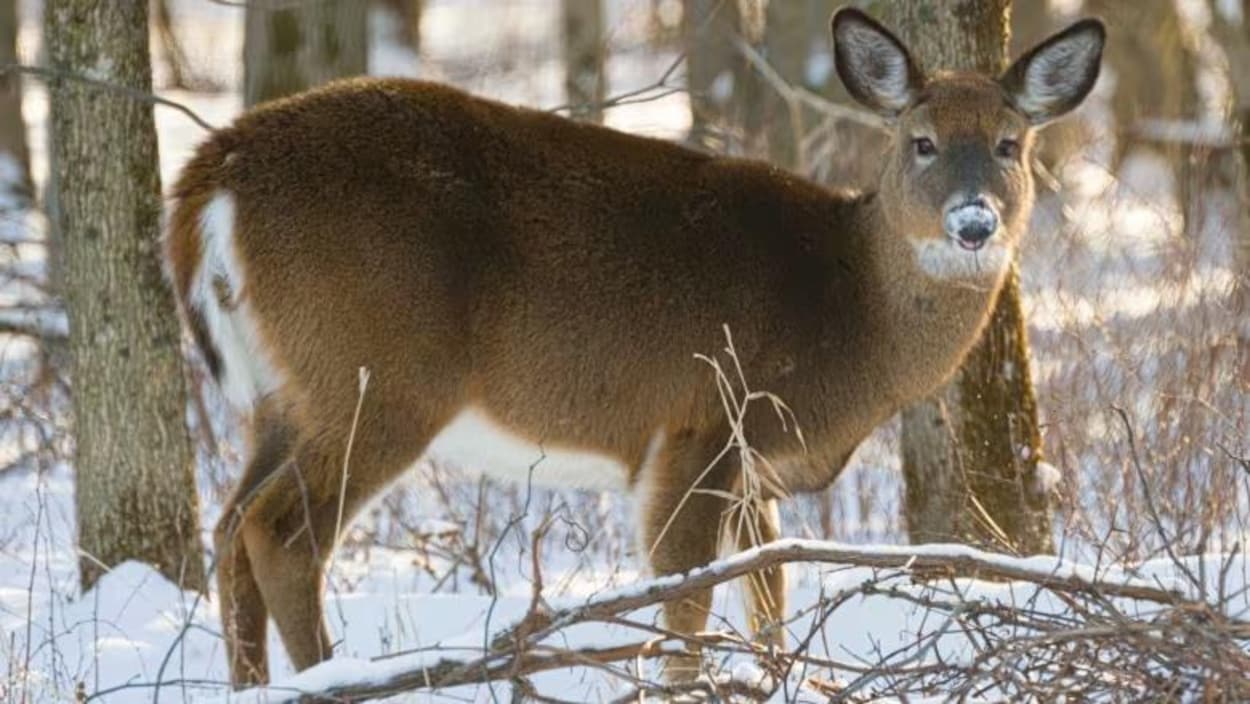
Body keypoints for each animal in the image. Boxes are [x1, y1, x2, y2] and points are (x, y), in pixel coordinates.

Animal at [165, 8, 1104, 687]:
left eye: (1010, 145)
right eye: (922, 143)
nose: (974, 222)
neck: (848, 315)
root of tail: (212, 172)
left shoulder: (754, 467)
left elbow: (768, 594)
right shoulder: (701, 420)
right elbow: (685, 602)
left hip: (284, 390)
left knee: (229, 525)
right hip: (381, 374)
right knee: (280, 533)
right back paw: (330, 677)